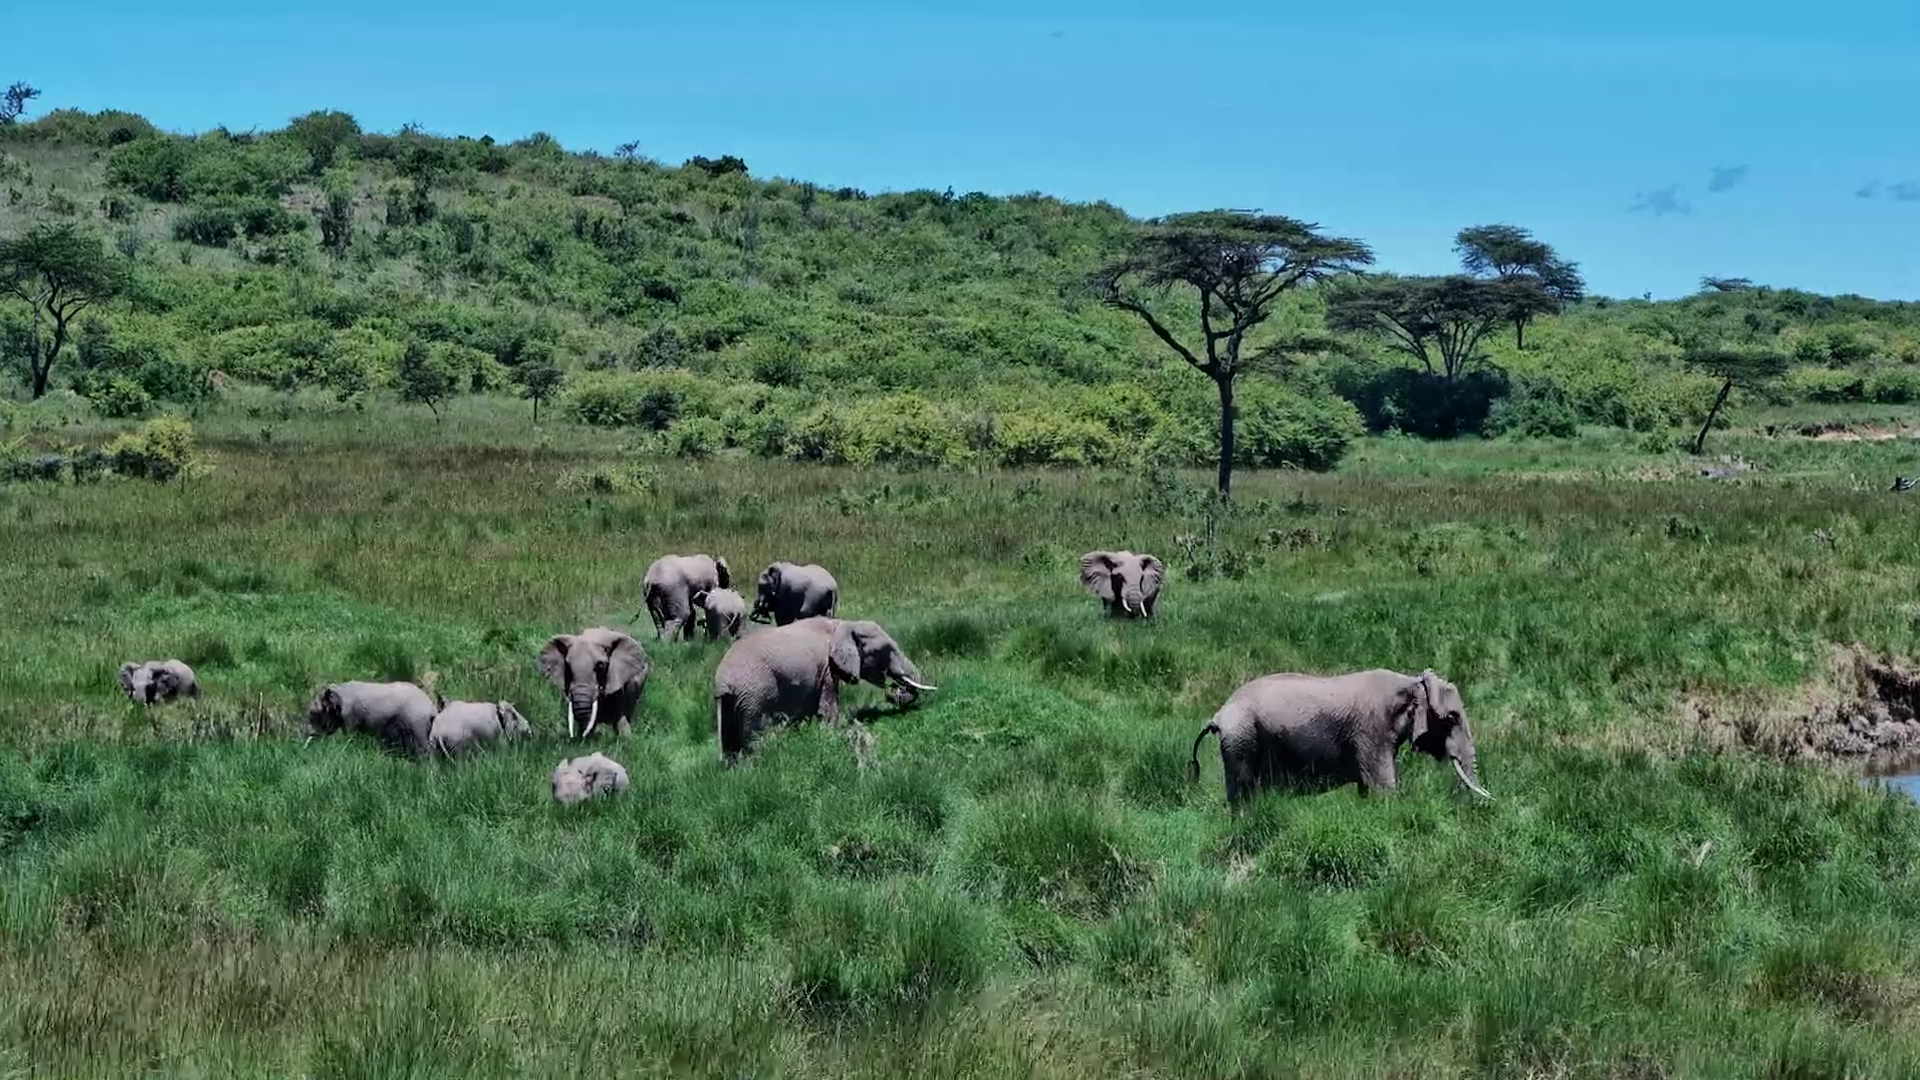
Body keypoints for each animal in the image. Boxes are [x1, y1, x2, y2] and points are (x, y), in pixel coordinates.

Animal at [305, 680, 439, 757]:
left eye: (314, 712)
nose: (311, 734)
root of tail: (432, 708)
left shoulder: (350, 717)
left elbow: (348, 735)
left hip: (417, 726)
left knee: (426, 749)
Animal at [712, 618, 935, 761]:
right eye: (886, 651)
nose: (892, 690)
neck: (843, 624)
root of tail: (723, 682)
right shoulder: (826, 667)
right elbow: (828, 706)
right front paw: (831, 737)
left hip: (731, 702)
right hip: (754, 697)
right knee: (755, 735)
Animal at [1188, 668, 1492, 806]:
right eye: (1451, 718)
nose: (1489, 801)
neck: (1409, 682)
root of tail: (1218, 714)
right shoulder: (1370, 731)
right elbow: (1383, 789)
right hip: (1242, 740)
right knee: (1244, 793)